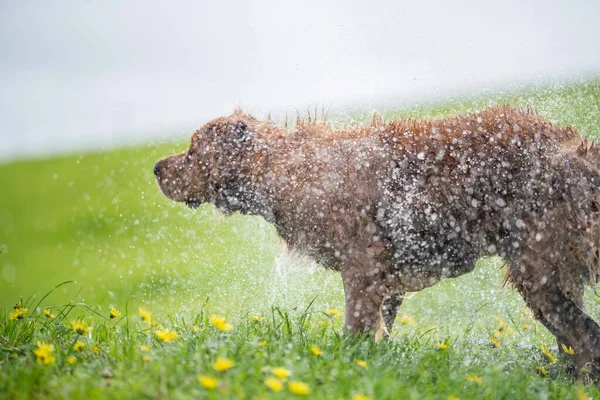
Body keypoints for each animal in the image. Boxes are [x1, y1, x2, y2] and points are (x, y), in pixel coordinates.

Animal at [154, 108, 600, 376]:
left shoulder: (362, 266)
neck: (283, 171)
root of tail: (576, 152)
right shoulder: (386, 275)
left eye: (192, 151)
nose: (157, 167)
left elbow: (355, 329)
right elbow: (383, 322)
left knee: (582, 332)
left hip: (537, 263)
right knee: (574, 333)